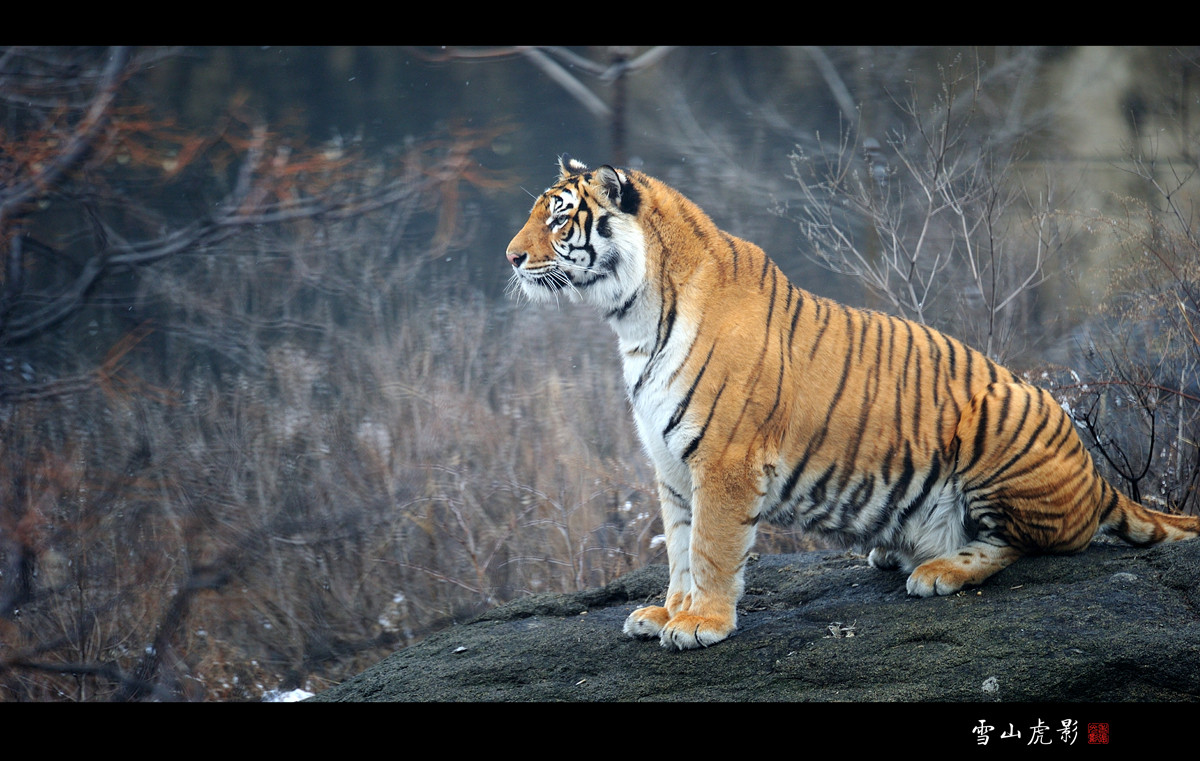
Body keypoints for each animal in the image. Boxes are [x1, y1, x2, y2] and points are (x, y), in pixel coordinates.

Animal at [501, 153, 1195, 648]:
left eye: (558, 217)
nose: (509, 257)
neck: (633, 319)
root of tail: (1097, 478)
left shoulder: (724, 460)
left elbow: (711, 548)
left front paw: (703, 623)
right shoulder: (670, 464)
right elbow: (677, 547)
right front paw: (665, 612)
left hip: (1002, 416)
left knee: (1028, 545)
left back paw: (938, 572)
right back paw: (896, 551)